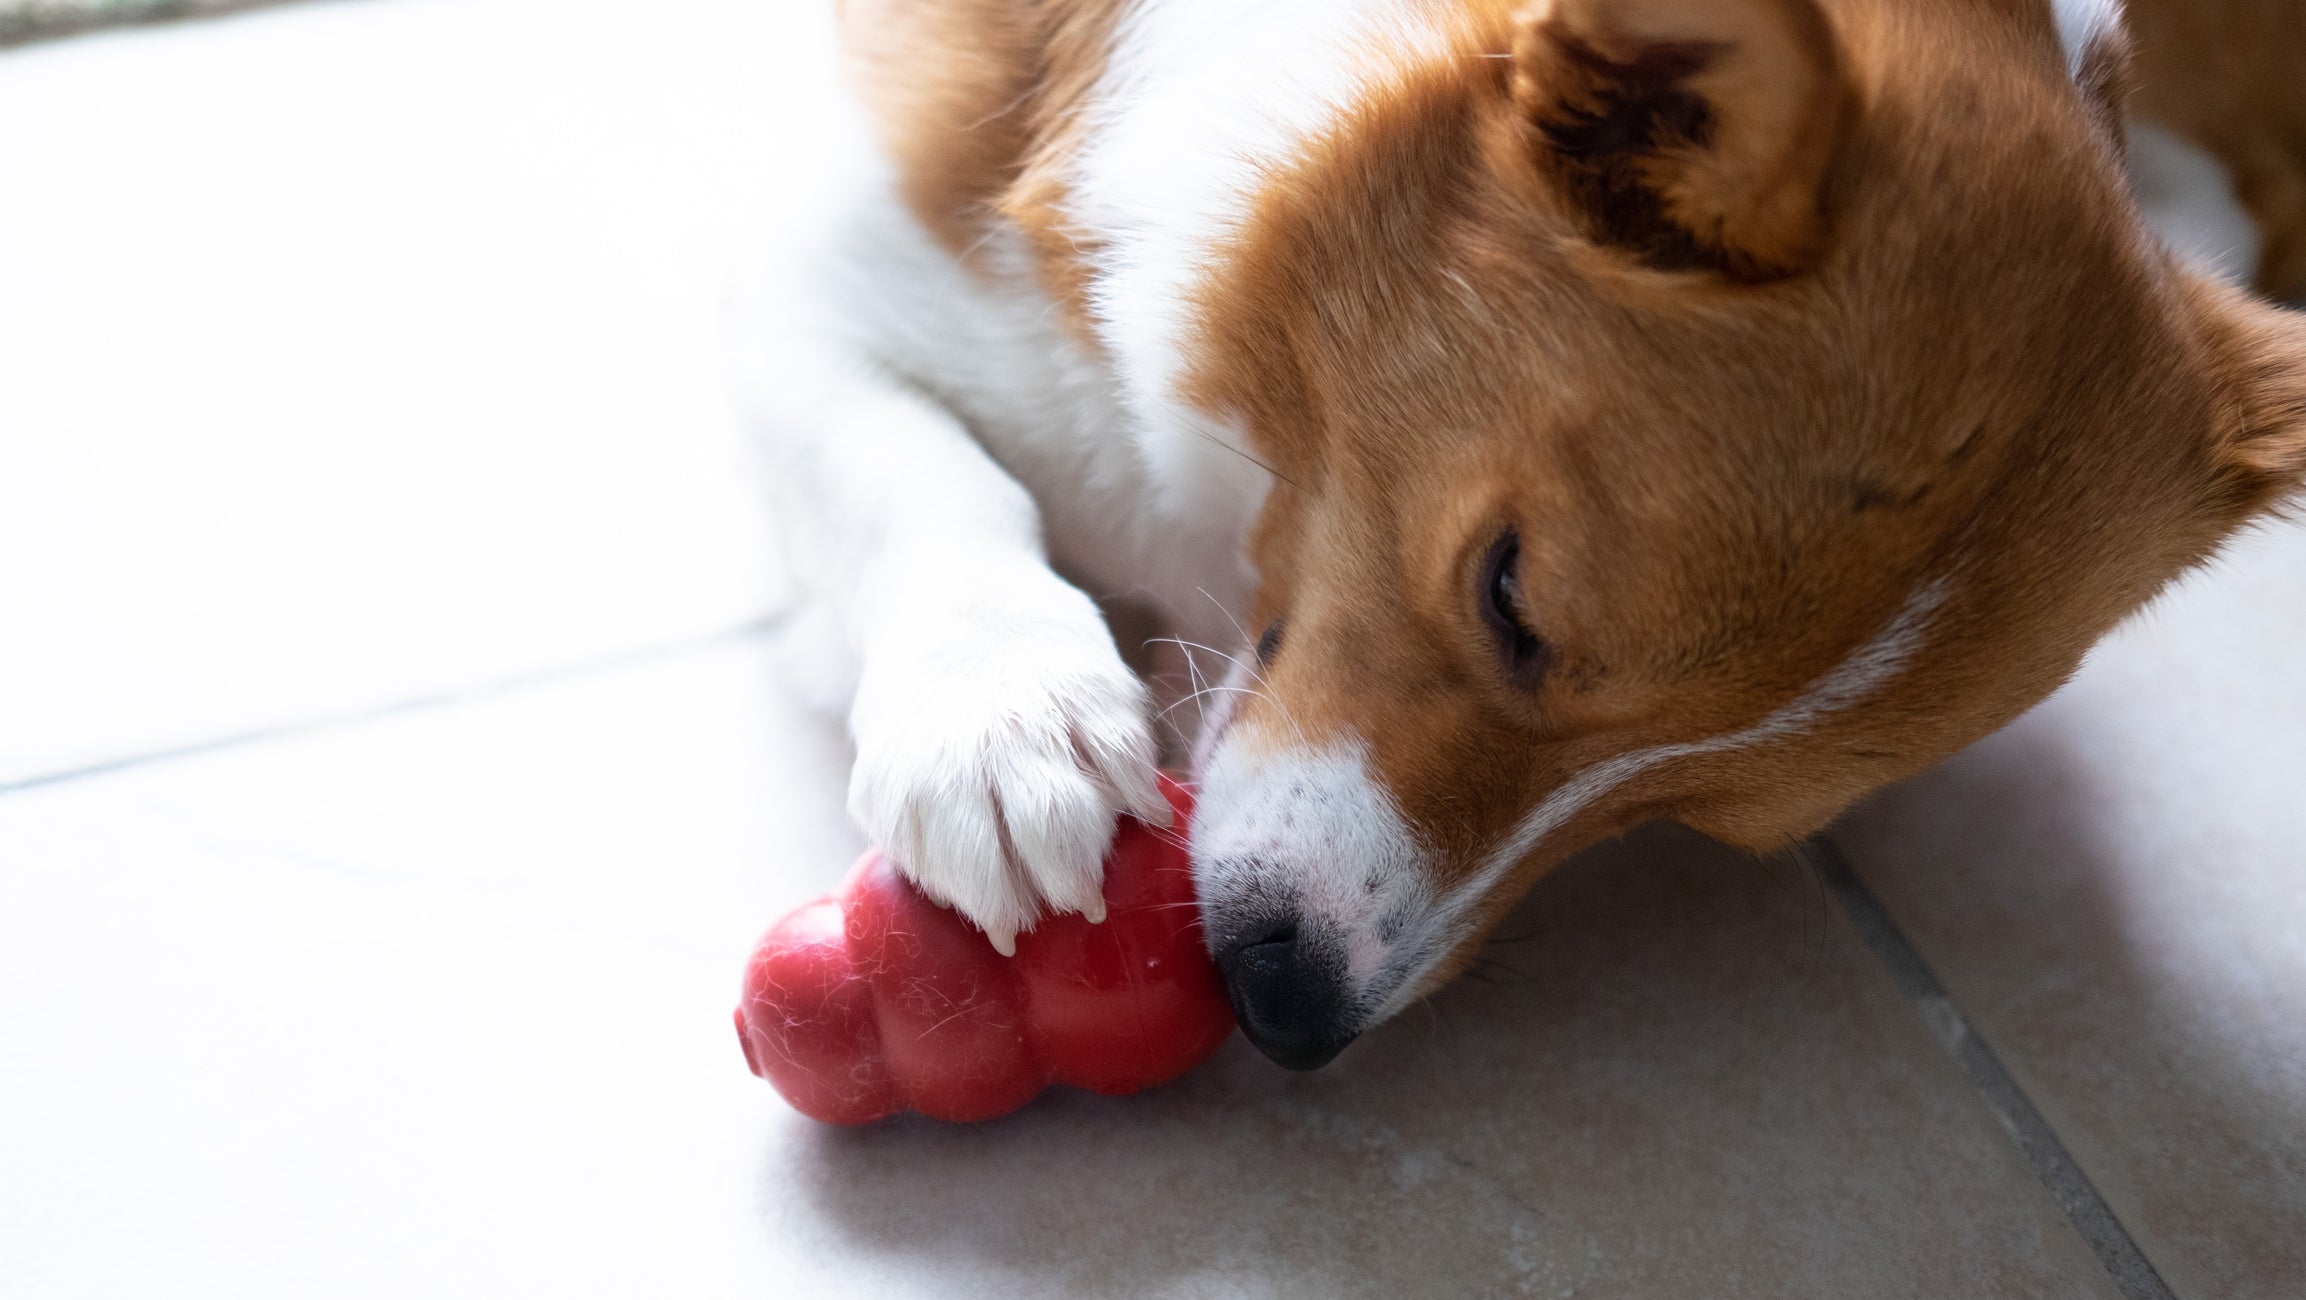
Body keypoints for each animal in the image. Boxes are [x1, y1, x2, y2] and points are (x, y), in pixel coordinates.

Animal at [733, 0, 2306, 1069]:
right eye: (1510, 596)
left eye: (1691, 819)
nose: (1285, 1010)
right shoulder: (824, 281)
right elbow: (920, 475)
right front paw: (999, 722)